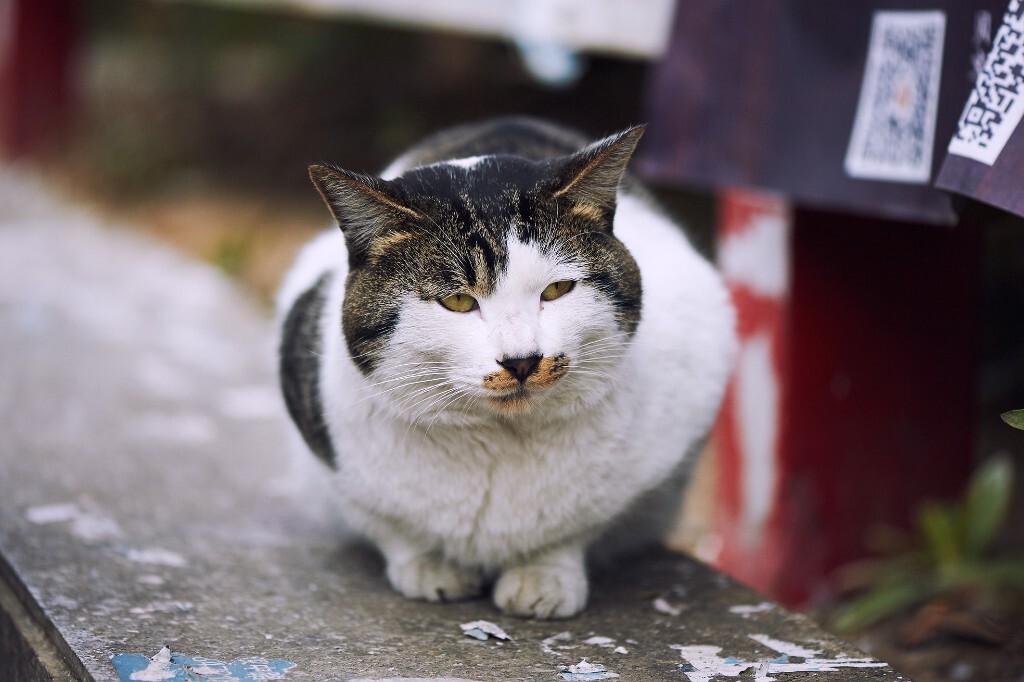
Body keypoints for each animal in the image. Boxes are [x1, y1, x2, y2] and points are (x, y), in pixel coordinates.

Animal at [276, 116, 733, 614]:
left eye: (557, 290)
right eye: (458, 301)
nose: (522, 360)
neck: (501, 441)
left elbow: (574, 528)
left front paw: (544, 577)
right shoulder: (332, 458)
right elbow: (387, 524)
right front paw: (428, 568)